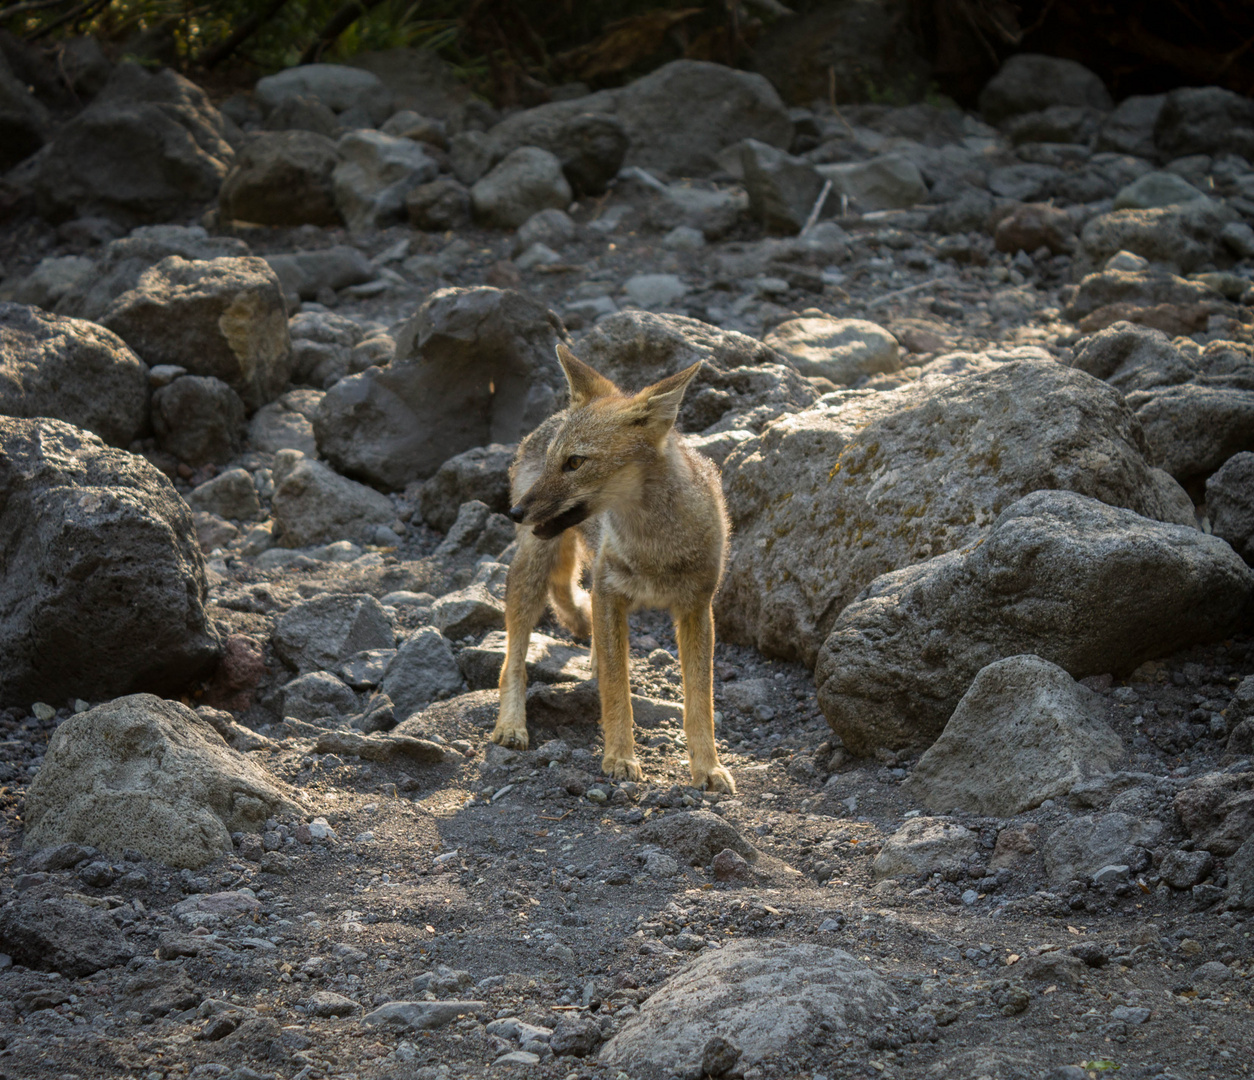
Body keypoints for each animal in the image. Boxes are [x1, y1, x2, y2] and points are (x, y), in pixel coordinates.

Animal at [491, 343, 732, 792]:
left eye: (575, 463)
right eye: (553, 461)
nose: (514, 512)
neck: (655, 547)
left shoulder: (697, 608)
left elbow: (699, 702)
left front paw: (707, 767)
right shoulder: (611, 595)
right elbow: (617, 690)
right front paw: (620, 758)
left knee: (575, 600)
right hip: (530, 572)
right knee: (514, 657)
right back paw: (511, 725)